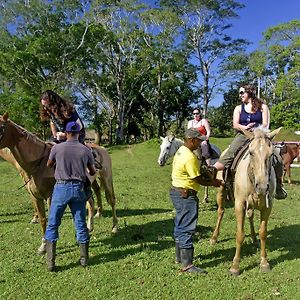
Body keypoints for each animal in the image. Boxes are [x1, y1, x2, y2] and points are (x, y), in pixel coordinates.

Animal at [0, 113, 118, 254]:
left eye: (0, 127)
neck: (39, 164)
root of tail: (101, 148)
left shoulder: (51, 197)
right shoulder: (36, 197)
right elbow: (43, 220)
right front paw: (43, 246)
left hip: (106, 179)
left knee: (111, 200)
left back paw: (114, 228)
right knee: (91, 203)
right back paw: (89, 227)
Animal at [211, 127, 282, 276]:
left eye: (271, 154)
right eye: (250, 152)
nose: (262, 187)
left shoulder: (268, 206)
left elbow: (263, 232)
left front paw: (264, 262)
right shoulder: (239, 204)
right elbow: (240, 234)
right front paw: (235, 266)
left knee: (250, 216)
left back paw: (254, 239)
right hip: (221, 191)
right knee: (221, 211)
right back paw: (214, 238)